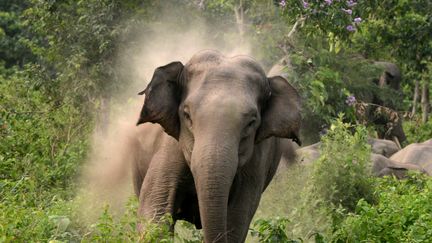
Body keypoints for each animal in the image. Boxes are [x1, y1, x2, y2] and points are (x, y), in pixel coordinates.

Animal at [134, 49, 300, 243]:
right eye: (186, 115)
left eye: (251, 122)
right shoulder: (170, 147)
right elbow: (155, 209)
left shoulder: (257, 162)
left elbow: (238, 219)